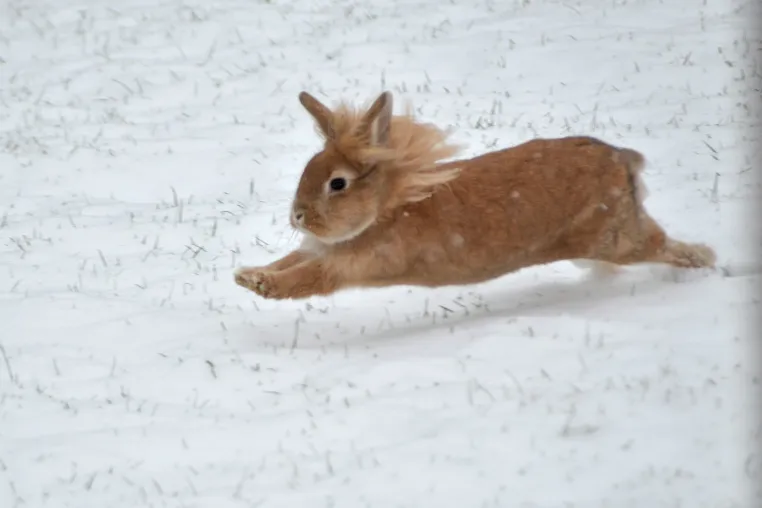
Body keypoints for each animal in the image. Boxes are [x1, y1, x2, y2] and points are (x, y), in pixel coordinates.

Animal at [234, 91, 716, 300]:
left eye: (337, 183)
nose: (297, 217)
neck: (389, 206)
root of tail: (623, 162)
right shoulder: (321, 248)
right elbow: (290, 259)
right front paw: (246, 274)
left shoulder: (352, 264)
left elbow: (304, 278)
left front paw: (259, 285)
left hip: (617, 239)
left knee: (665, 247)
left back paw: (707, 263)